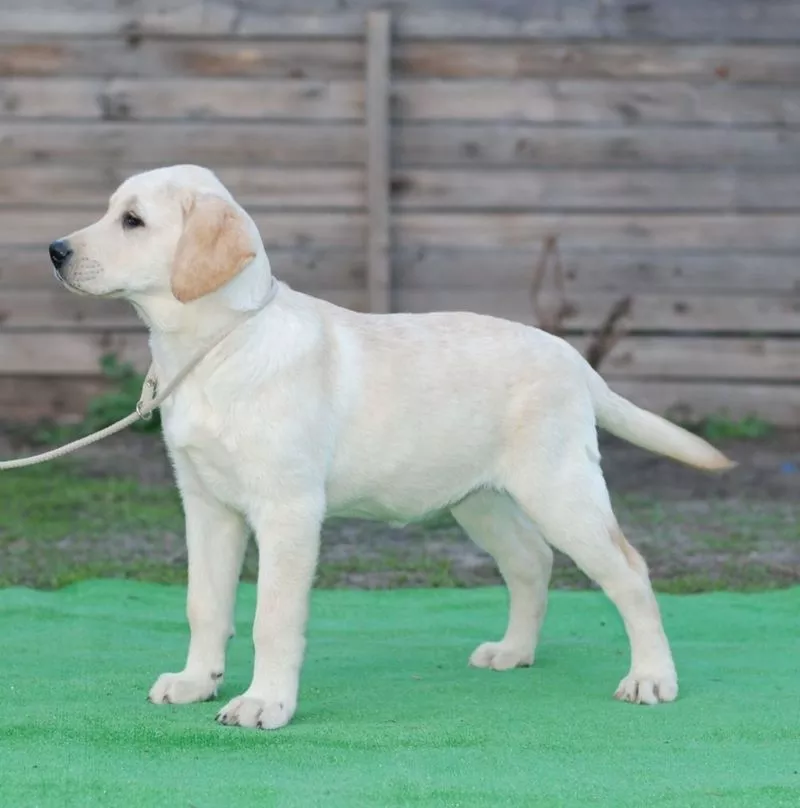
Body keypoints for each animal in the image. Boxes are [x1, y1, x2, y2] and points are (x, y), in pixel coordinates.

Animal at [47, 166, 736, 732]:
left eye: (133, 220)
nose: (55, 250)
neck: (218, 348)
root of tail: (571, 355)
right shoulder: (206, 506)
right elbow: (204, 604)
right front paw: (196, 682)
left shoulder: (288, 511)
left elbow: (273, 617)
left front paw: (265, 703)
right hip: (481, 500)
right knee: (531, 562)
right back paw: (513, 652)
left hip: (561, 489)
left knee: (630, 572)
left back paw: (651, 678)